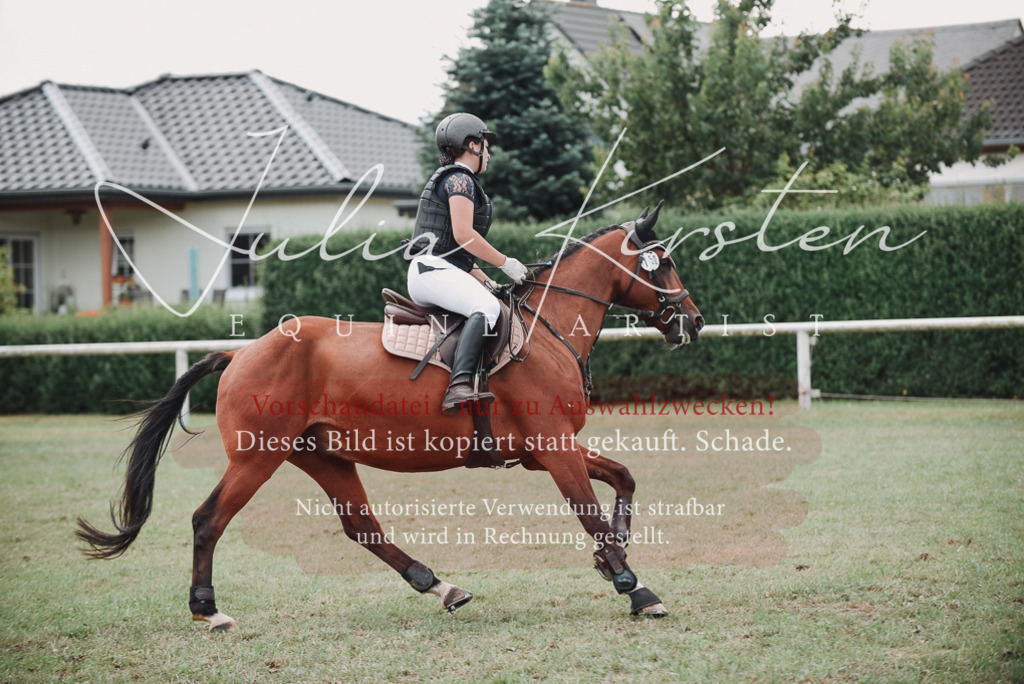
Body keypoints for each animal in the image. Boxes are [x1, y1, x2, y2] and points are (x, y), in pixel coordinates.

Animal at [76, 204, 704, 631]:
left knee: (363, 527)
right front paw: (633, 585)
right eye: (666, 263)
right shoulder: (553, 450)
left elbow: (623, 478)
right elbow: (590, 512)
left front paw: (615, 559)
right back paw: (209, 611)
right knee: (208, 520)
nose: (693, 322)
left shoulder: (546, 451)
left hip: (322, 455)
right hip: (257, 458)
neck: (545, 332)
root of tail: (241, 352)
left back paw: (440, 586)